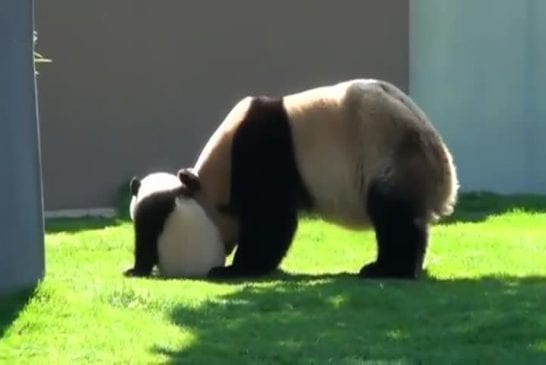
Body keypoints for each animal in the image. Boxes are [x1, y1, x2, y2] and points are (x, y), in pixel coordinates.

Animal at [187, 79, 454, 278]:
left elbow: (271, 218)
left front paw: (233, 269)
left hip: (389, 156)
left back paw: (384, 269)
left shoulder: (265, 153)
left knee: (392, 215)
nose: (224, 251)